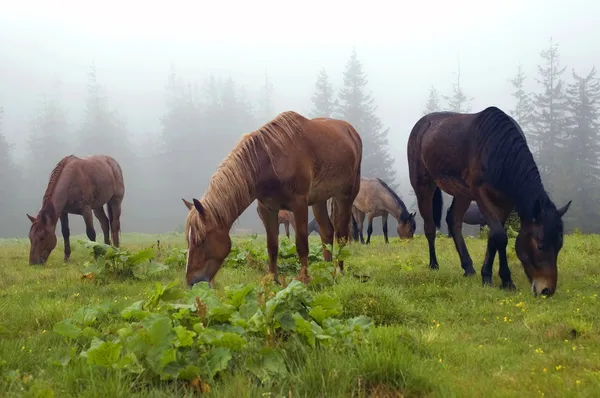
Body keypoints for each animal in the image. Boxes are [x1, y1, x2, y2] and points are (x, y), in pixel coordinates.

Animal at [182, 110, 360, 288]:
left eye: (201, 241)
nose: (191, 282)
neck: (270, 161)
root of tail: (351, 132)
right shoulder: (267, 209)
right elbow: (272, 246)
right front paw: (272, 280)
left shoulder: (299, 205)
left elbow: (302, 245)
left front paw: (303, 280)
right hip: (319, 201)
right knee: (327, 232)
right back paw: (328, 271)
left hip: (346, 195)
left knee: (341, 235)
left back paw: (339, 272)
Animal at [408, 105, 572, 296]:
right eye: (540, 245)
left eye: (560, 245)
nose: (547, 290)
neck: (498, 151)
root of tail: (421, 124)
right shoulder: (481, 195)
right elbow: (500, 236)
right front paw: (506, 280)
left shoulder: (506, 202)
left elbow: (493, 237)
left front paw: (486, 275)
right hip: (424, 186)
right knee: (430, 226)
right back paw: (434, 264)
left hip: (463, 194)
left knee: (453, 220)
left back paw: (468, 267)